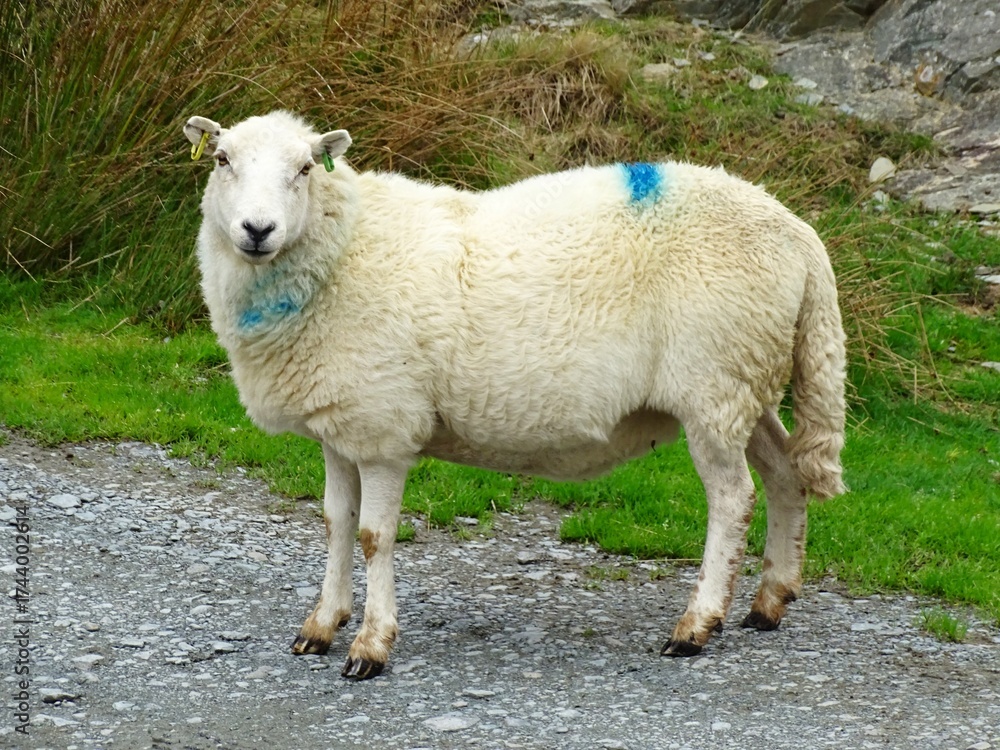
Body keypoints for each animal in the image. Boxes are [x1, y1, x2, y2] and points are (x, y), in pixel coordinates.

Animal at [183, 110, 846, 681]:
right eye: (221, 159)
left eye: (304, 169)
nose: (258, 230)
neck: (345, 248)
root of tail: (798, 234)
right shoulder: (343, 425)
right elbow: (334, 524)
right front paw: (321, 626)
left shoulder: (385, 428)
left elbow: (374, 537)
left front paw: (370, 646)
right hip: (747, 384)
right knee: (786, 473)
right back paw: (769, 602)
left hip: (716, 383)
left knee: (733, 499)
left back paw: (696, 626)